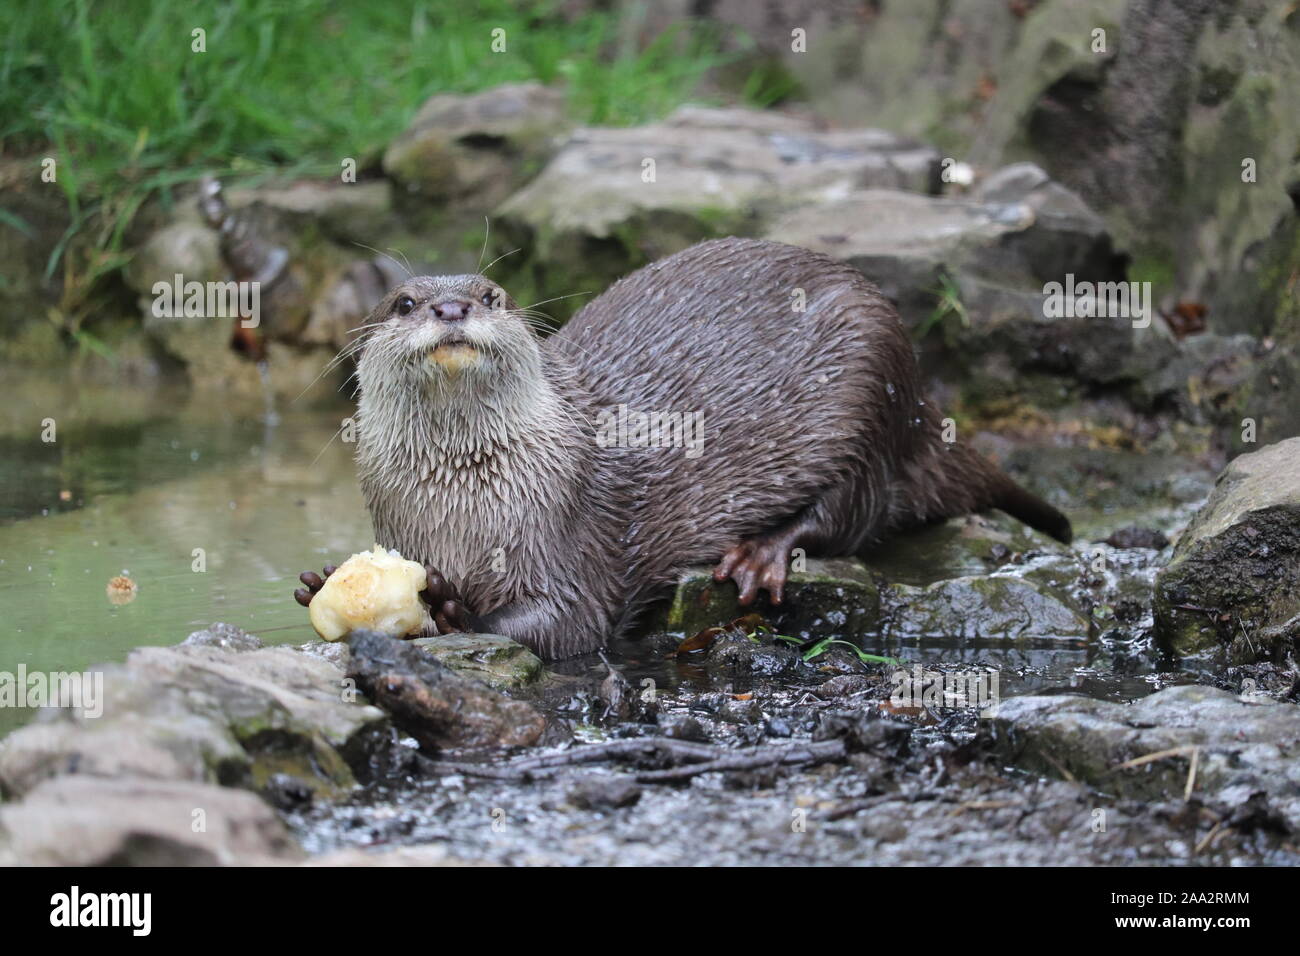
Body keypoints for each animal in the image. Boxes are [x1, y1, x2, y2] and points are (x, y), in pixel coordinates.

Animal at [295, 237, 1071, 659]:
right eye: (403, 303)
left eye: (494, 294)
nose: (451, 307)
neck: (463, 509)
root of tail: (922, 402)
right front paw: (321, 581)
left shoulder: (567, 538)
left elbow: (568, 622)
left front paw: (454, 615)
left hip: (867, 392)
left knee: (851, 513)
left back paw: (760, 555)